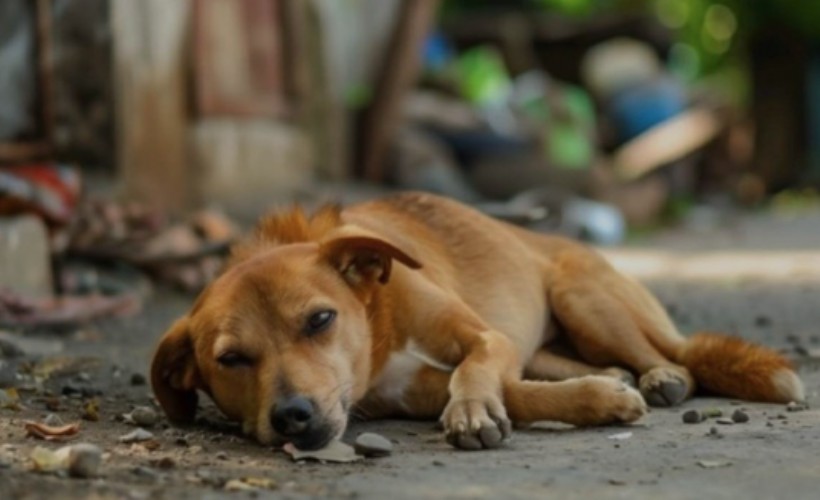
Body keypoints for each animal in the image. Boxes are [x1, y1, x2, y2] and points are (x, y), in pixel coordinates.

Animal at [151, 191, 804, 450]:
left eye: (319, 320)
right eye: (230, 360)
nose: (292, 416)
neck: (379, 323)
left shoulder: (485, 338)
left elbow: (476, 372)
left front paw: (470, 411)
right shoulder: (411, 392)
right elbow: (518, 393)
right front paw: (596, 399)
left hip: (584, 298)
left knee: (675, 359)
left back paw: (660, 377)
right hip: (552, 340)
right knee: (583, 365)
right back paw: (617, 378)